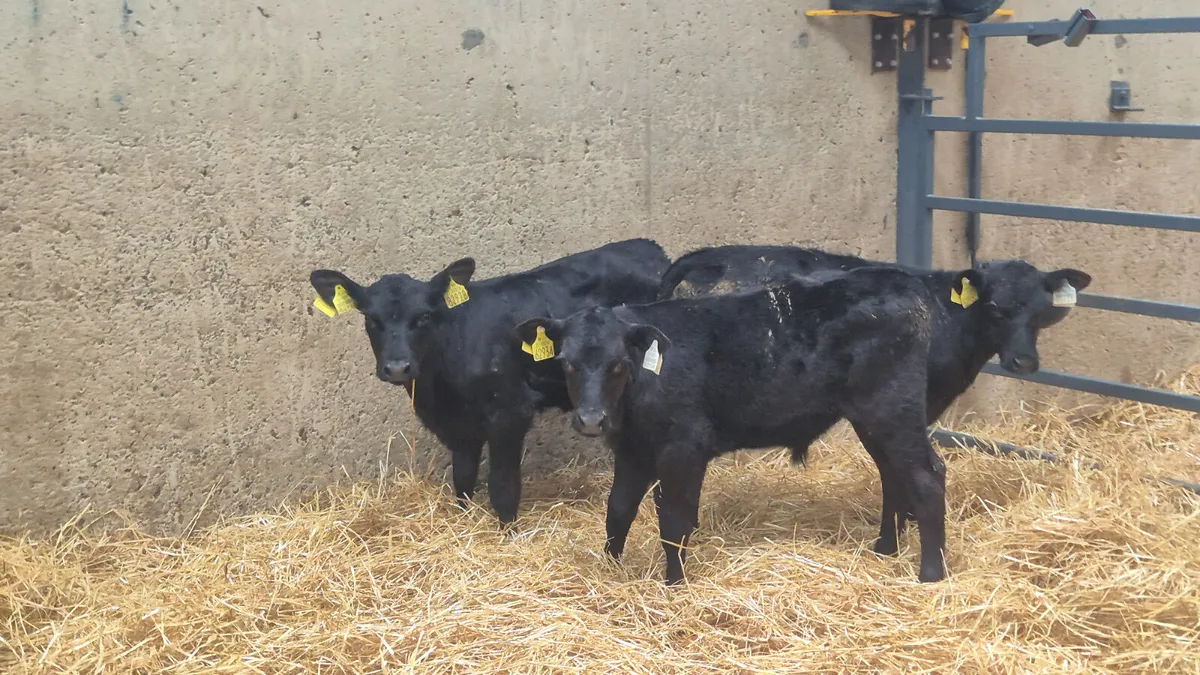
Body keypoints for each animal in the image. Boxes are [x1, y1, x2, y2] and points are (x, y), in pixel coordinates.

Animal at [310, 238, 670, 527]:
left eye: (423, 316)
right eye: (371, 318)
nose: (398, 367)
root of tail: (647, 247)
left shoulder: (510, 413)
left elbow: (502, 485)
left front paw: (507, 531)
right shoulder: (457, 425)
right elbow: (463, 477)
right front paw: (463, 519)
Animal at [516, 266, 953, 585]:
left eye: (619, 364)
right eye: (567, 362)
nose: (592, 420)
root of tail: (900, 281)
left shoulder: (684, 449)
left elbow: (674, 520)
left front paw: (674, 583)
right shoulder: (632, 450)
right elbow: (618, 511)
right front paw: (609, 570)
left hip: (891, 408)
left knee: (926, 475)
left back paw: (931, 574)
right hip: (873, 418)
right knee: (893, 475)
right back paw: (884, 548)